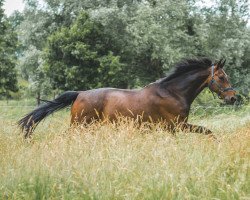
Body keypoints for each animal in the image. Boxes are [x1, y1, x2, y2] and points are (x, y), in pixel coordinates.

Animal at [18, 57, 236, 138]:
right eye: (221, 77)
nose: (233, 98)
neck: (173, 92)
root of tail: (80, 93)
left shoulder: (170, 129)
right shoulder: (177, 125)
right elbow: (208, 132)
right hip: (80, 124)